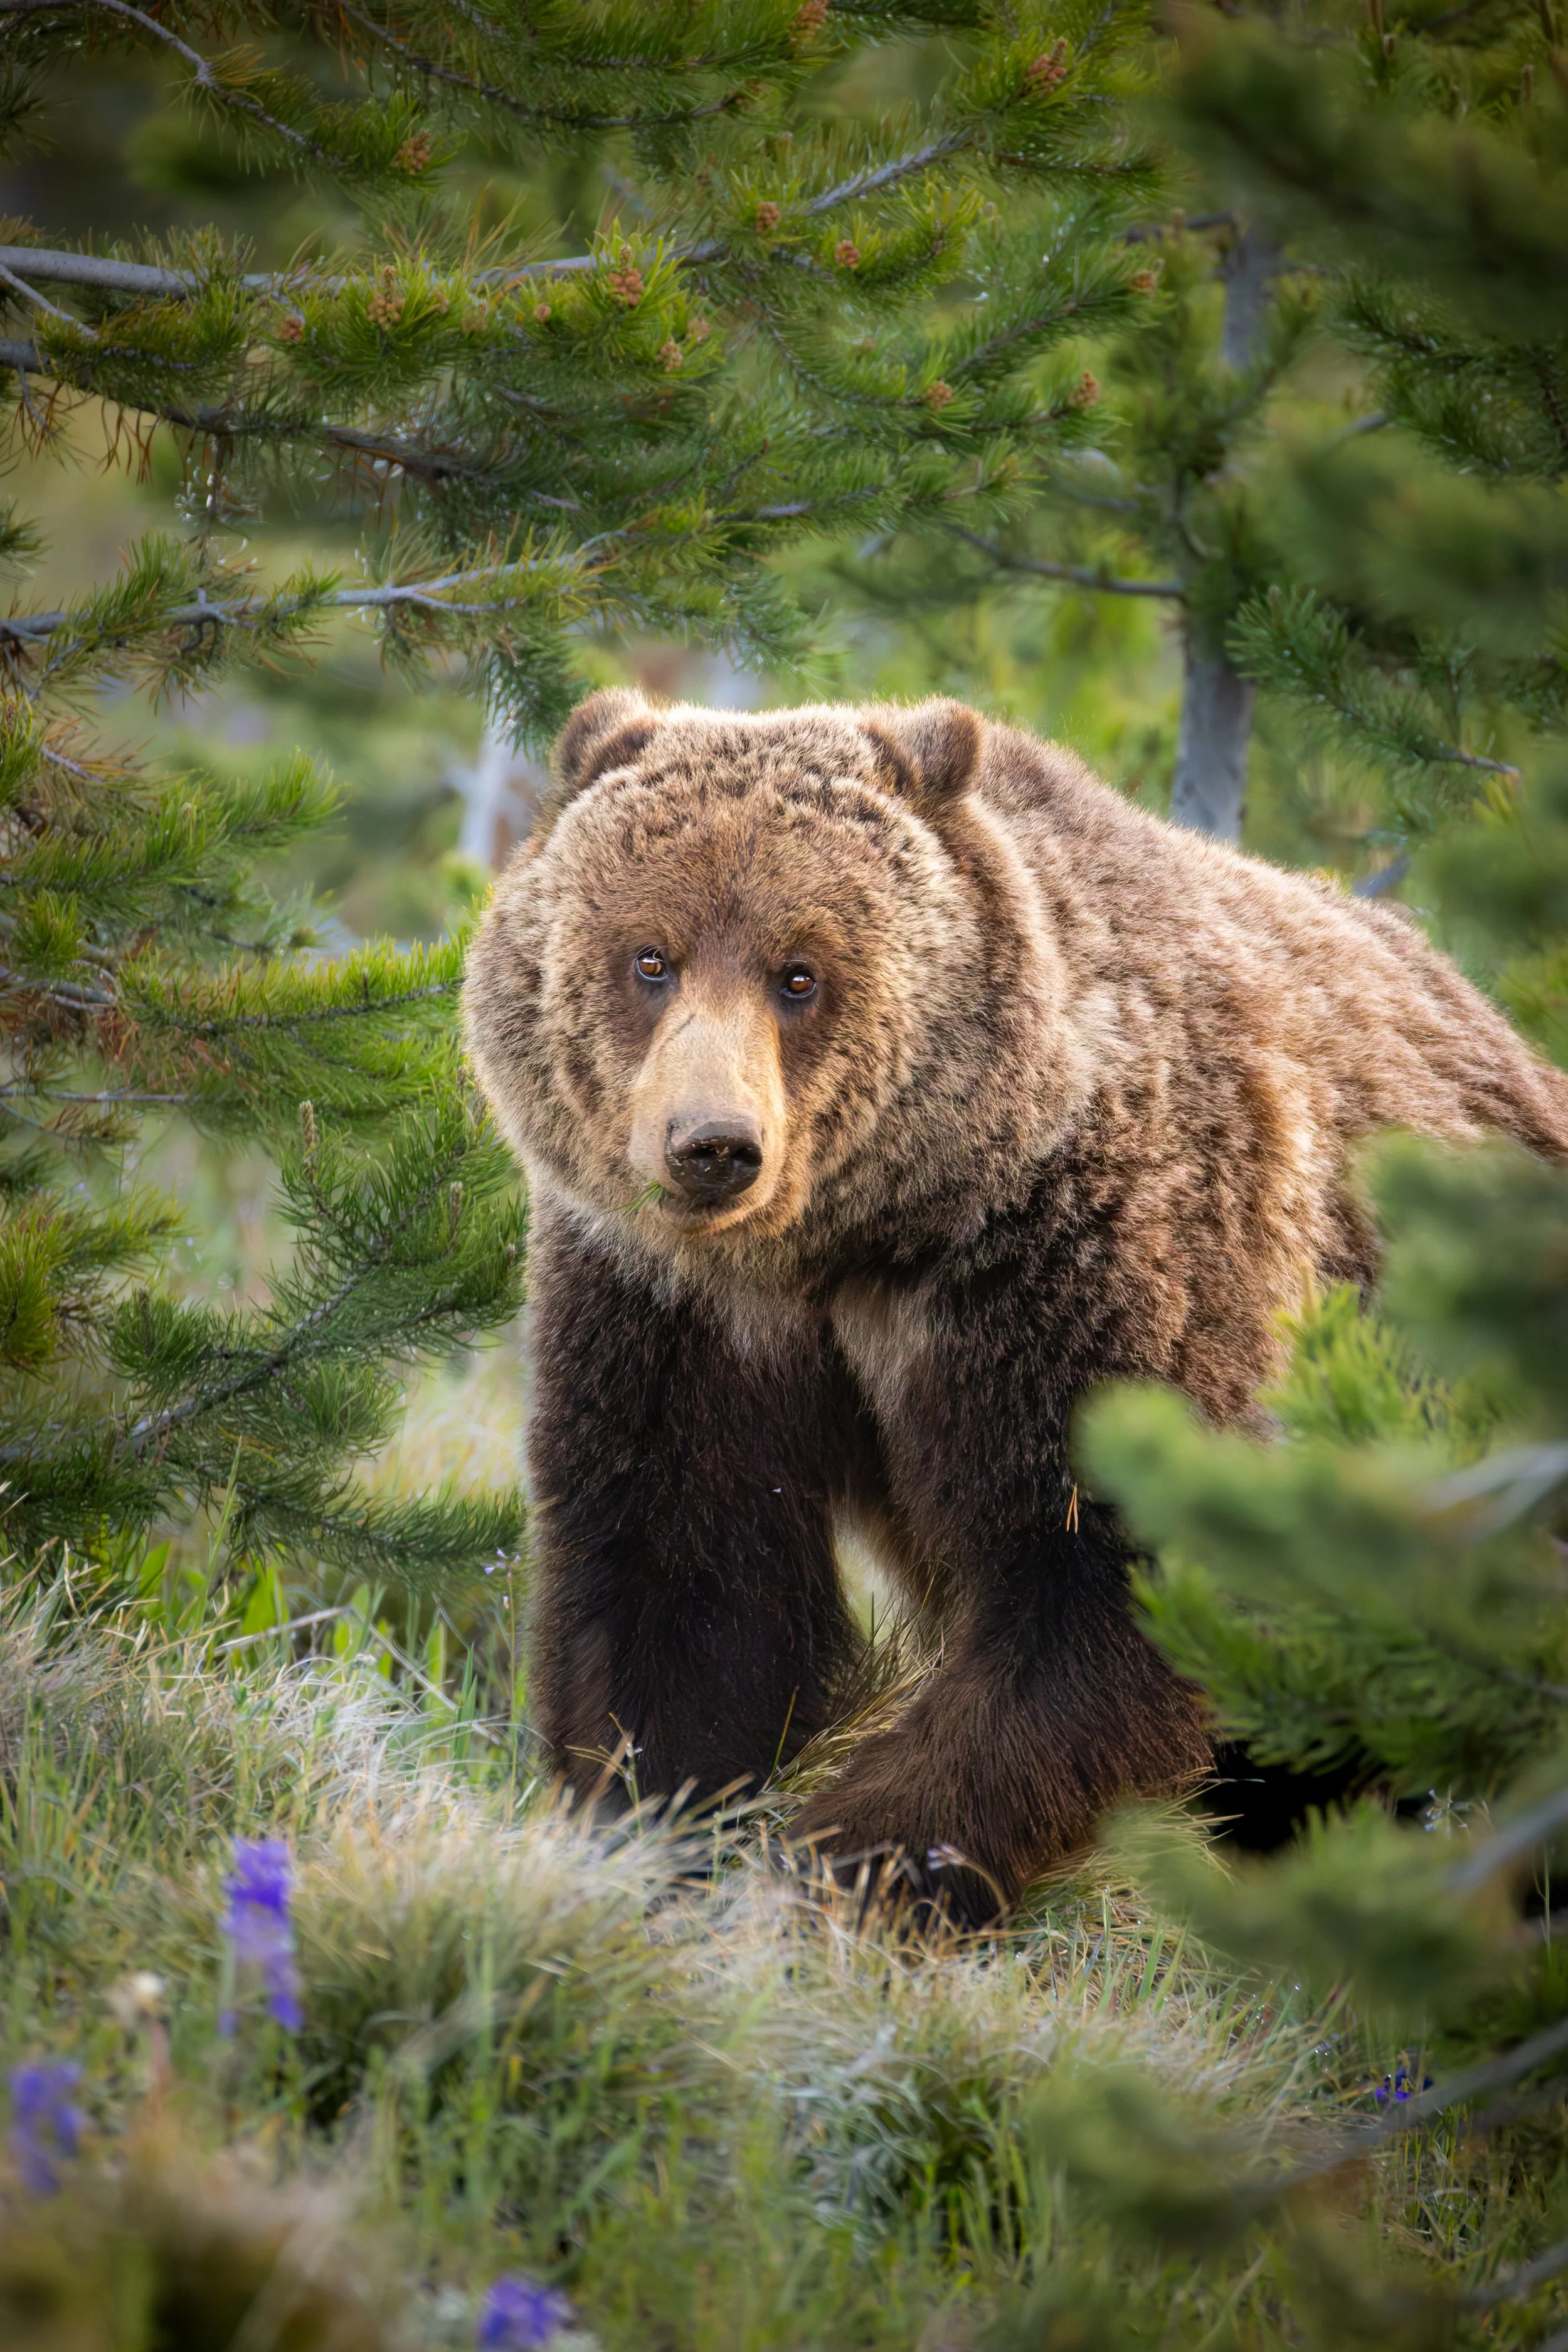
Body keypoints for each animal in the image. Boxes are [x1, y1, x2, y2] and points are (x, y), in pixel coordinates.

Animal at [463, 689, 1568, 1925]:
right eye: (649, 957)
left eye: (801, 972)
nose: (712, 1146)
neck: (853, 1243)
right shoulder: (676, 1308)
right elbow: (684, 1578)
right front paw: (654, 1837)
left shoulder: (1080, 1272)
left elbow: (1097, 1587)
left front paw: (845, 1869)